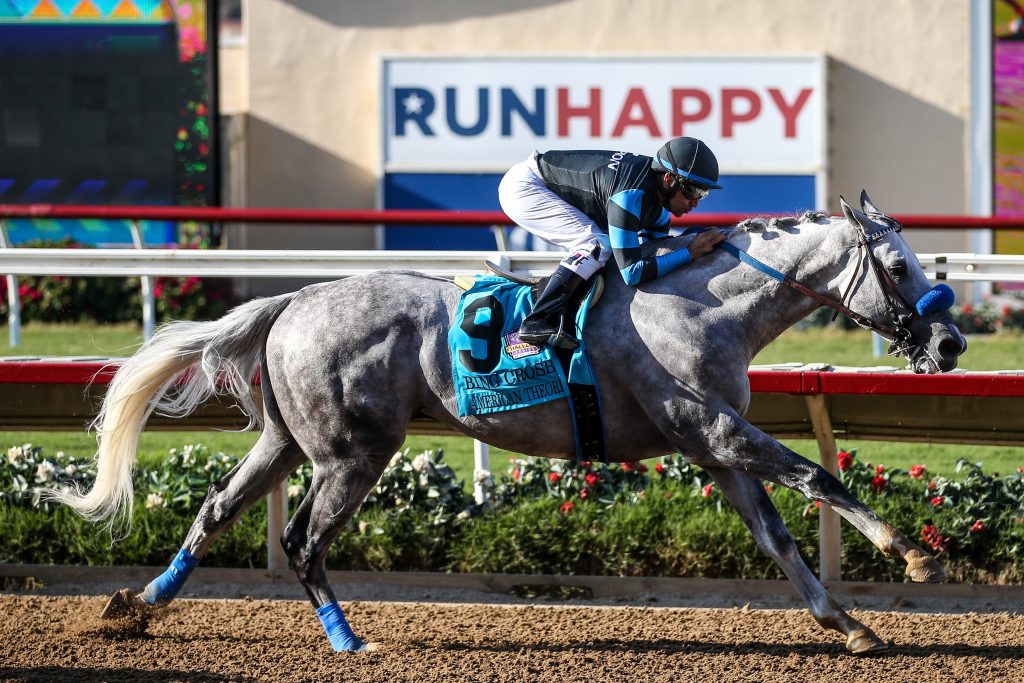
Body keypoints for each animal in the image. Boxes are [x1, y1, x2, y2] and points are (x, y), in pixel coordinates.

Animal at [46, 192, 958, 655]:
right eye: (900, 264)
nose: (950, 341)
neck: (704, 306)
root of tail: (292, 300)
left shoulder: (713, 446)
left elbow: (777, 536)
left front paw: (848, 623)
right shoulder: (714, 430)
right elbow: (816, 473)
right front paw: (912, 554)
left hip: (286, 440)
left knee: (214, 507)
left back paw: (138, 605)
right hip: (353, 452)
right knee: (304, 538)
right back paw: (347, 640)